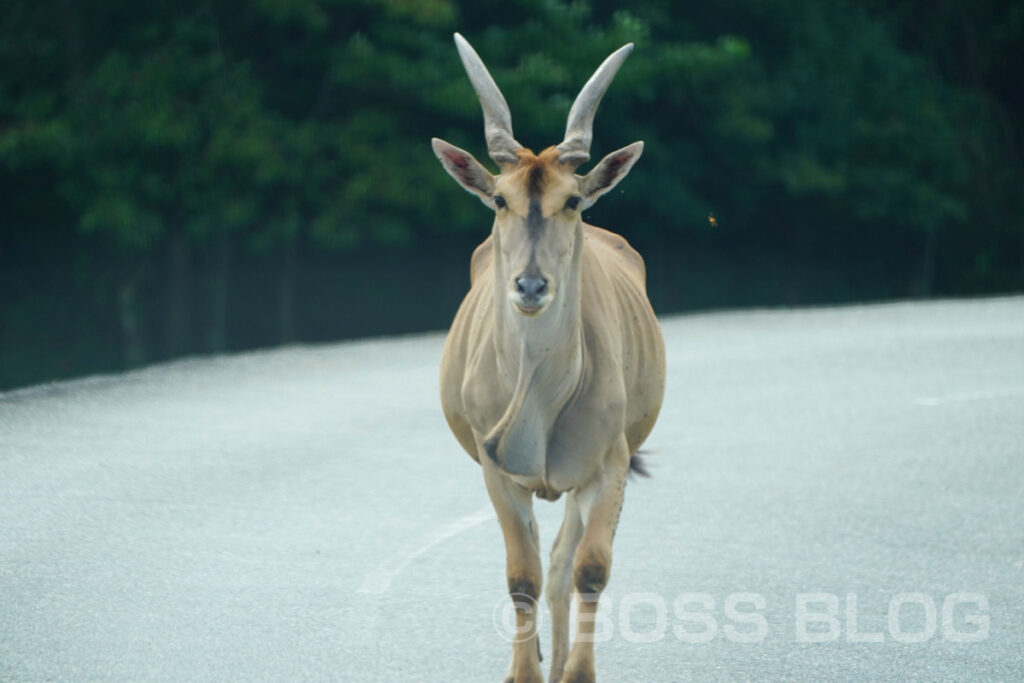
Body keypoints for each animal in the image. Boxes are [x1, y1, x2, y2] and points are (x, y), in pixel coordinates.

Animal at [432, 33, 663, 683]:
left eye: (573, 200)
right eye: (500, 198)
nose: (531, 287)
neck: (537, 398)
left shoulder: (606, 467)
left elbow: (586, 569)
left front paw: (573, 672)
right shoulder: (498, 473)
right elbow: (522, 576)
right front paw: (523, 672)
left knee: (562, 561)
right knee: (540, 559)